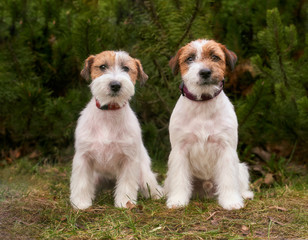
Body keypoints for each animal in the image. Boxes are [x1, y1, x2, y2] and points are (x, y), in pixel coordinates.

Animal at [69, 50, 161, 208]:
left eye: (126, 68)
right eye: (102, 66)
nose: (115, 85)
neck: (109, 113)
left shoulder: (129, 160)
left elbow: (127, 184)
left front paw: (125, 202)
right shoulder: (83, 157)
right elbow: (81, 182)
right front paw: (80, 203)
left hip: (144, 174)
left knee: (151, 185)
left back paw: (157, 195)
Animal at [164, 39, 253, 210]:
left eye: (215, 57)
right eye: (190, 59)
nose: (205, 72)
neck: (203, 105)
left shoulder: (226, 148)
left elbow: (228, 178)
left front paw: (231, 201)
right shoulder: (179, 150)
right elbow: (179, 177)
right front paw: (178, 200)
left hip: (241, 168)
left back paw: (245, 194)